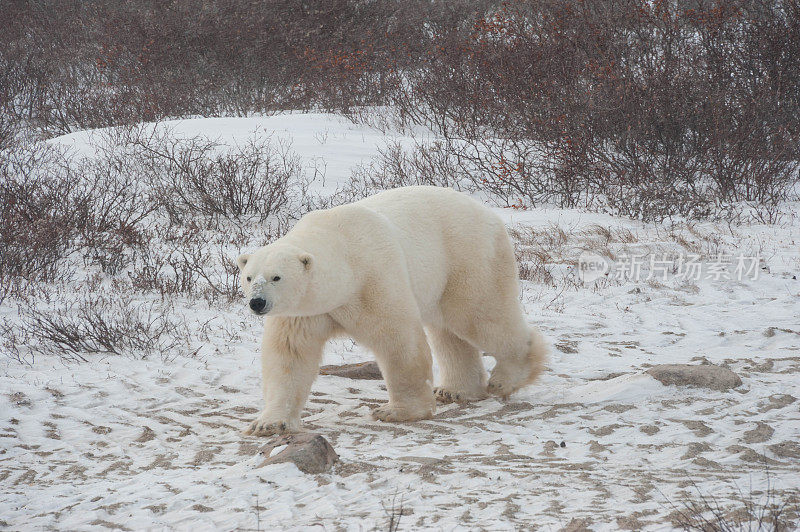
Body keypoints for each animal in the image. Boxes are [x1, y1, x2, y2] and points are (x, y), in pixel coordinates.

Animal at [238, 185, 548, 434]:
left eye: (277, 277)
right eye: (250, 276)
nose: (257, 302)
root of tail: (490, 214)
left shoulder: (373, 279)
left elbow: (397, 340)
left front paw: (395, 411)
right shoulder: (304, 310)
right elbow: (290, 355)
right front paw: (268, 423)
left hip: (468, 258)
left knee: (478, 315)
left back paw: (505, 379)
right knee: (448, 331)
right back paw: (455, 390)